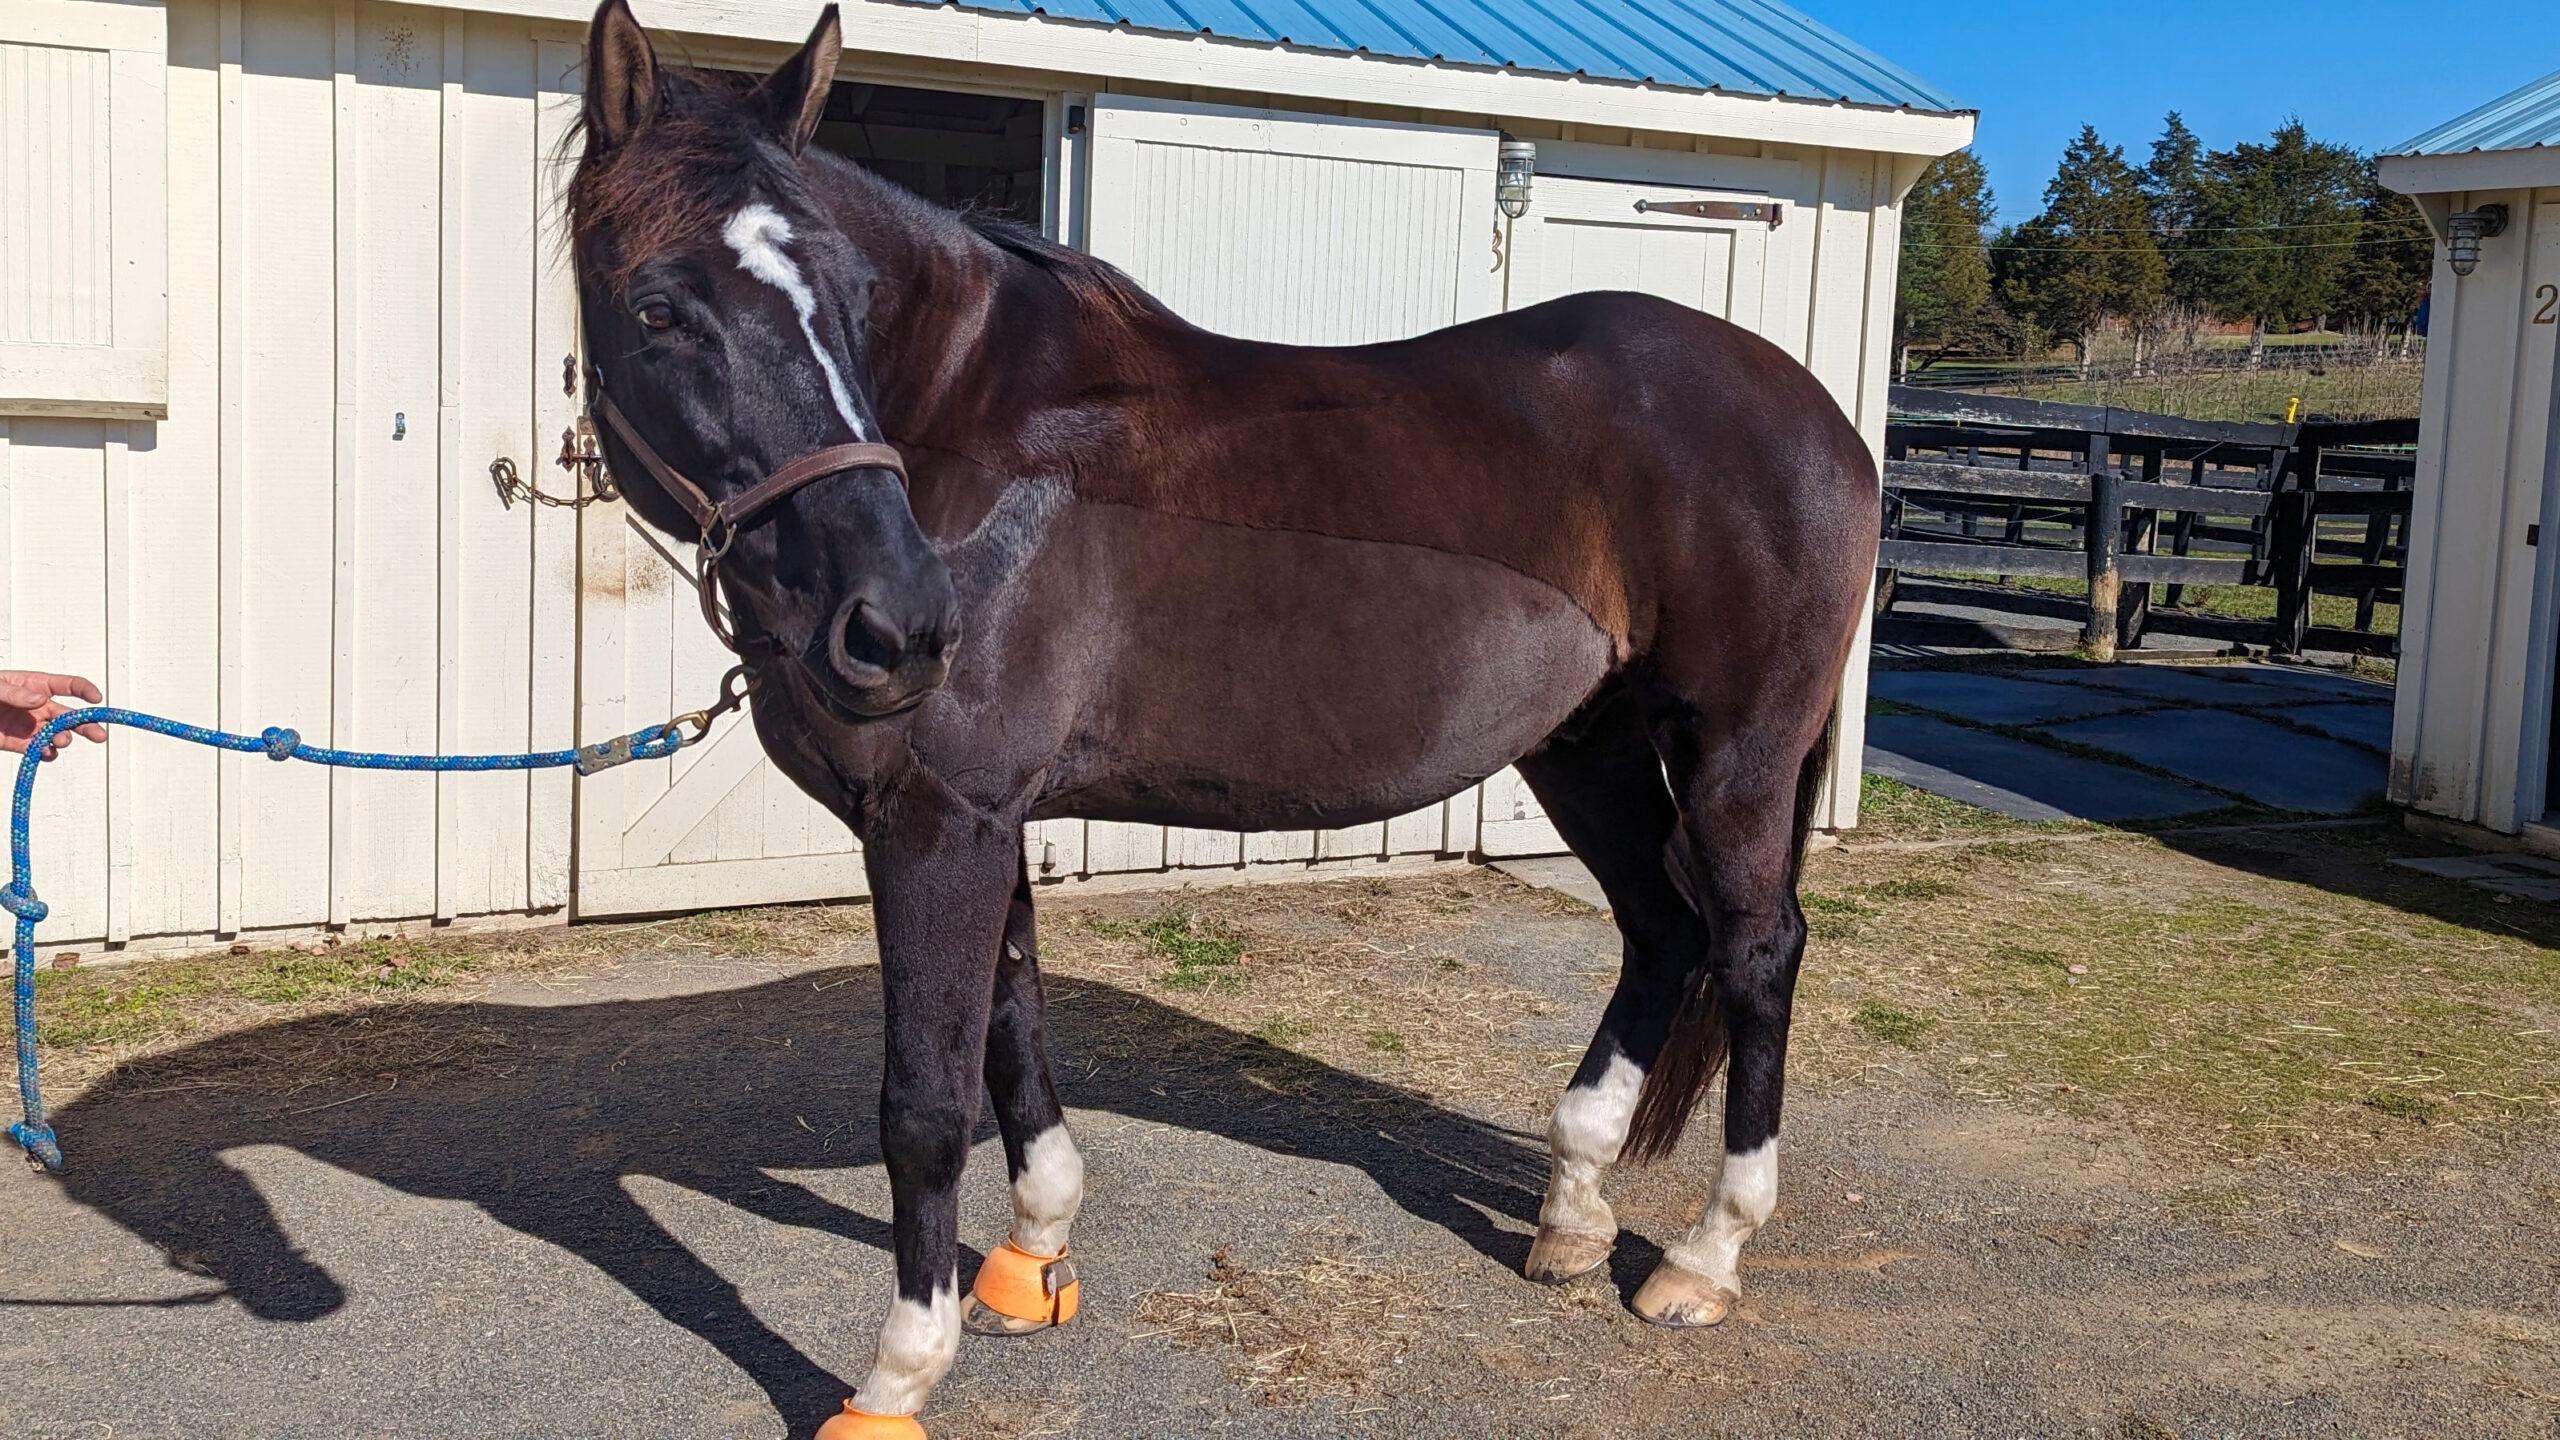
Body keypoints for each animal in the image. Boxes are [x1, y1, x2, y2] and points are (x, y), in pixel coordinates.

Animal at [566, 3, 1879, 1433]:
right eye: (657, 307)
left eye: (854, 308)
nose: (900, 625)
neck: (968, 442)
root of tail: (1817, 413)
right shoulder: (987, 821)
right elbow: (1010, 1035)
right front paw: (1030, 1264)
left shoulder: (933, 824)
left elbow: (925, 1101)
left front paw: (897, 1373)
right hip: (1583, 747)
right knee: (1659, 929)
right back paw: (1573, 1216)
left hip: (1736, 753)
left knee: (1754, 949)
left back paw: (1703, 1257)